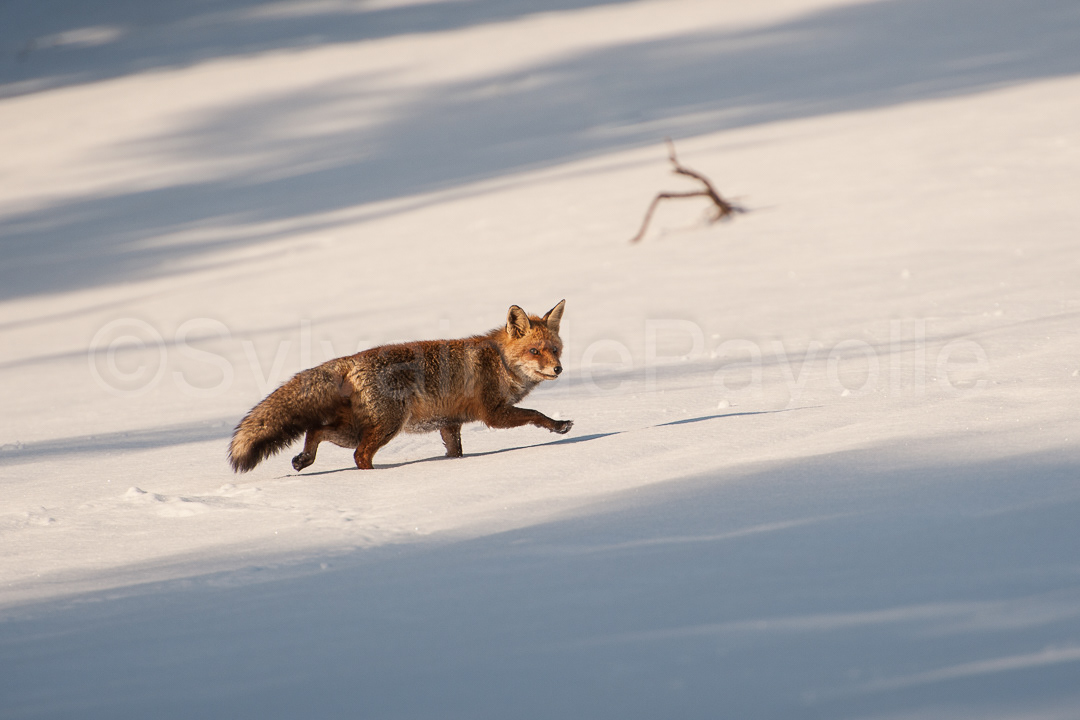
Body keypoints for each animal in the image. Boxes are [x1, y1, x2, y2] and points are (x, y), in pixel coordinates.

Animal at [228, 300, 571, 472]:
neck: (500, 361)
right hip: (386, 426)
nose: (558, 369)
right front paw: (558, 426)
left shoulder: (450, 424)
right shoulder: (494, 415)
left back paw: (304, 460)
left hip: (353, 429)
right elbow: (536, 414)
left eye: (555, 349)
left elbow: (456, 453)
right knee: (359, 456)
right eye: (534, 351)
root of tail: (351, 360)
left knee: (316, 430)